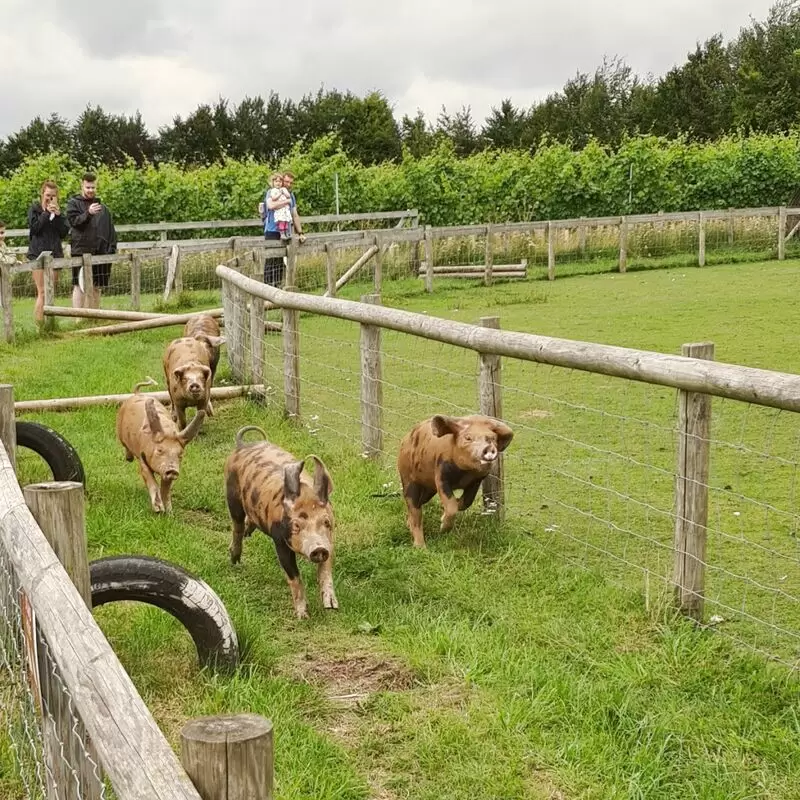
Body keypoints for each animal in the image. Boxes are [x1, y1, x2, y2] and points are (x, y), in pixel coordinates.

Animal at [118, 380, 208, 512]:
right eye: (160, 450)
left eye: (180, 454)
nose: (172, 470)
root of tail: (136, 393)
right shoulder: (142, 457)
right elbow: (149, 478)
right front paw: (159, 510)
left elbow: (166, 487)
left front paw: (169, 512)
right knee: (125, 446)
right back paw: (128, 458)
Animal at [225, 424, 338, 620]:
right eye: (296, 525)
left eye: (325, 522)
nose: (318, 549)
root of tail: (242, 446)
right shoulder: (279, 541)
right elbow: (294, 576)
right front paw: (303, 616)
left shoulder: (329, 540)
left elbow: (325, 571)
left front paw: (331, 606)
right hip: (231, 495)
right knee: (236, 526)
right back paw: (235, 559)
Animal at [396, 416, 516, 548]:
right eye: (468, 438)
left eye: (493, 438)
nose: (488, 448)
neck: (465, 473)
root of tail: (405, 440)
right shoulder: (441, 476)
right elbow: (451, 505)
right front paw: (442, 528)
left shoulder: (476, 481)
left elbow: (465, 503)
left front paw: (443, 517)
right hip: (408, 478)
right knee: (414, 509)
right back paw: (420, 547)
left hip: (428, 489)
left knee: (419, 504)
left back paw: (409, 526)